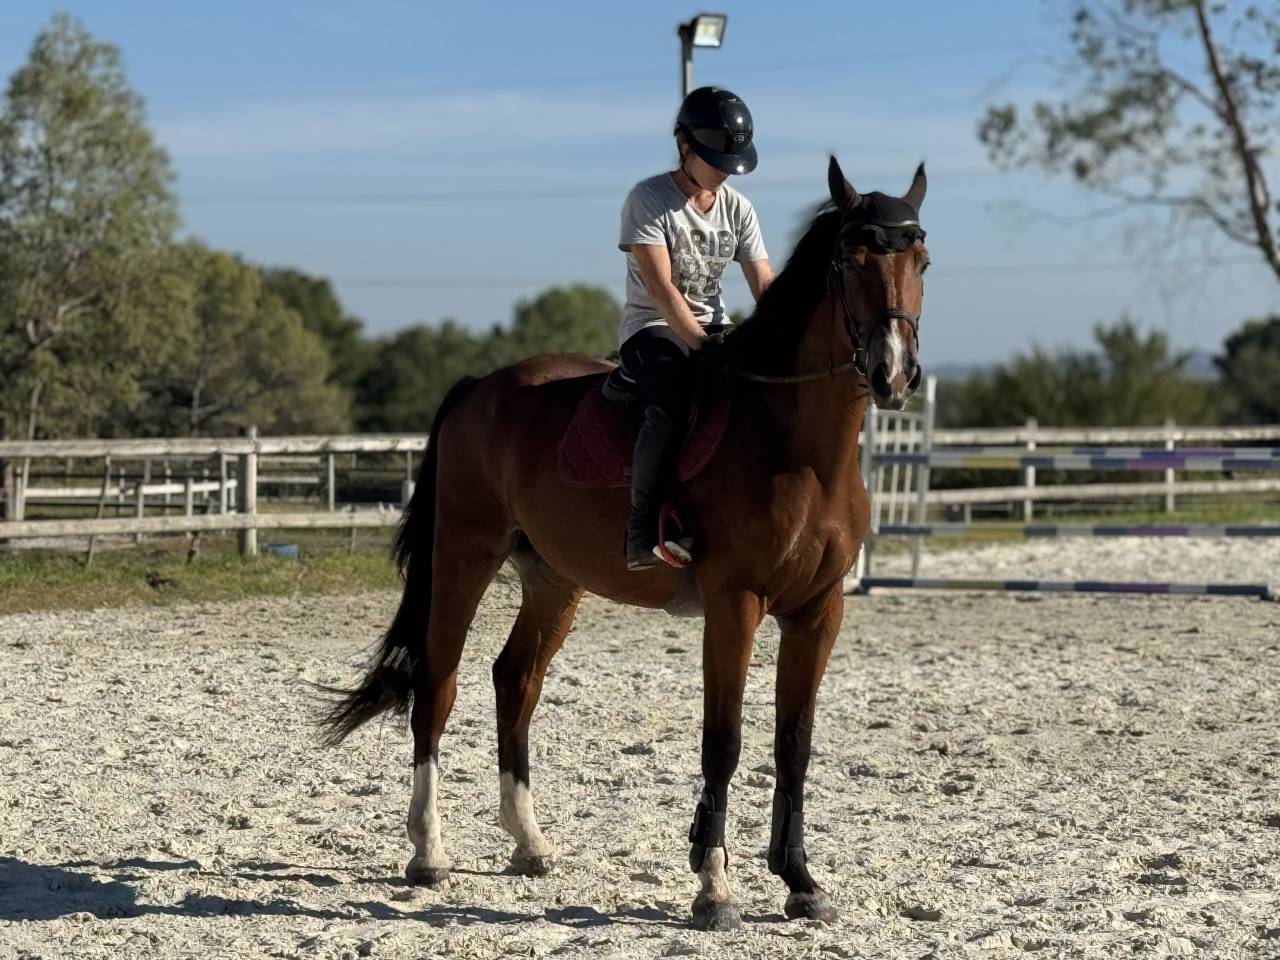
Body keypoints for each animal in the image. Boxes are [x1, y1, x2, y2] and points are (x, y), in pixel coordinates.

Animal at [322, 156, 928, 931]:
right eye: (850, 261)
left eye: (921, 260)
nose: (892, 374)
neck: (797, 445)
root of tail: (480, 388)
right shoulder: (735, 605)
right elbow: (724, 740)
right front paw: (714, 889)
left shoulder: (819, 612)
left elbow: (794, 743)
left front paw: (800, 882)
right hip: (464, 555)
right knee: (438, 684)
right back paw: (428, 853)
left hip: (553, 578)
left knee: (515, 680)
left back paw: (529, 844)